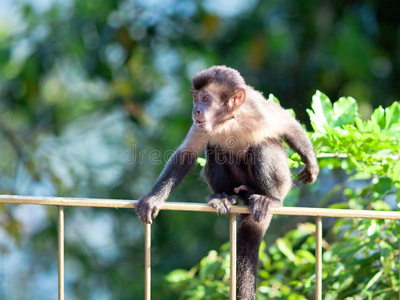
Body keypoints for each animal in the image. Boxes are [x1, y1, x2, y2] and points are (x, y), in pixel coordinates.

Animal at [137, 66, 318, 300]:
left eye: (206, 99)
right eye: (195, 98)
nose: (196, 110)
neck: (230, 119)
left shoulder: (257, 108)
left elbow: (288, 124)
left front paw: (310, 162)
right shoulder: (203, 126)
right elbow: (186, 155)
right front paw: (154, 199)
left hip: (279, 184)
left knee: (264, 144)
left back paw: (270, 199)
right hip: (236, 183)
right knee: (215, 149)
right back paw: (223, 197)